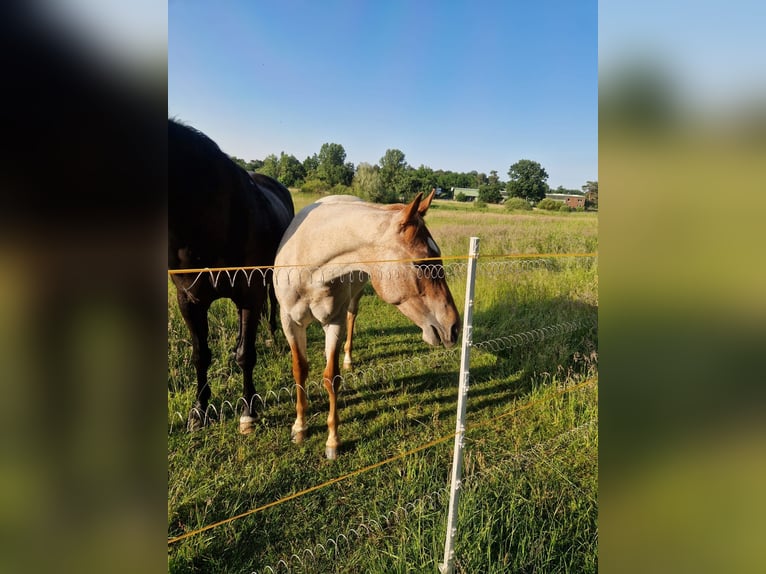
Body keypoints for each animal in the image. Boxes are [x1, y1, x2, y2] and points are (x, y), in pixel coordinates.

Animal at [168, 118, 295, 433]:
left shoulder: (250, 293)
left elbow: (246, 355)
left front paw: (248, 411)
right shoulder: (189, 301)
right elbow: (200, 356)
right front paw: (199, 411)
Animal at [273, 189, 460, 459]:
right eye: (421, 263)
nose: (454, 327)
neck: (307, 266)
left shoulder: (334, 323)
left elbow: (332, 378)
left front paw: (333, 441)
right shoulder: (289, 321)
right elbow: (300, 370)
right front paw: (299, 427)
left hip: (355, 298)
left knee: (352, 318)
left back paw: (349, 359)